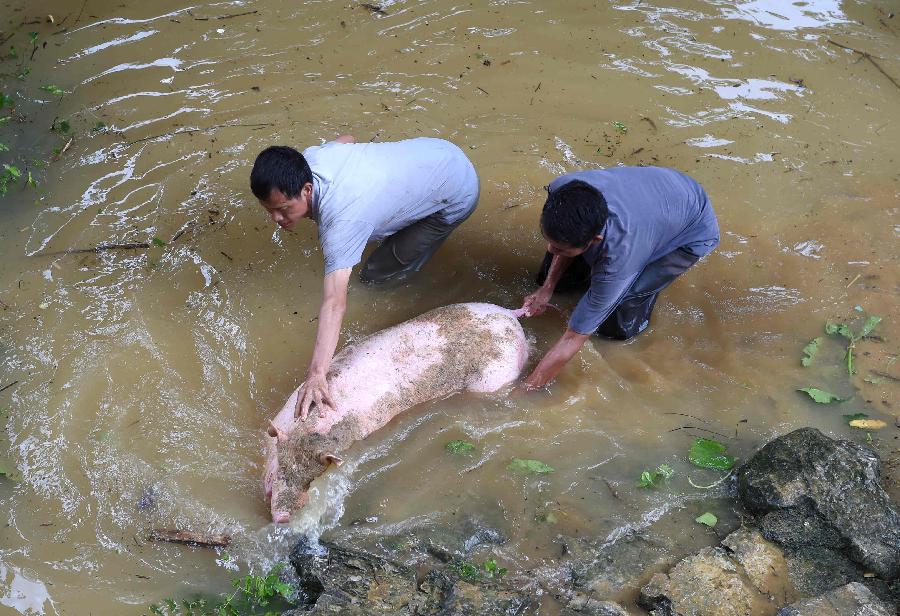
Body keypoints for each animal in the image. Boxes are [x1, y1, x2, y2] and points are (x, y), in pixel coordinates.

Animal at [260, 300, 528, 524]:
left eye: (312, 480)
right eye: (281, 470)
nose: (283, 518)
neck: (314, 426)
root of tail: (510, 315)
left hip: (495, 376)